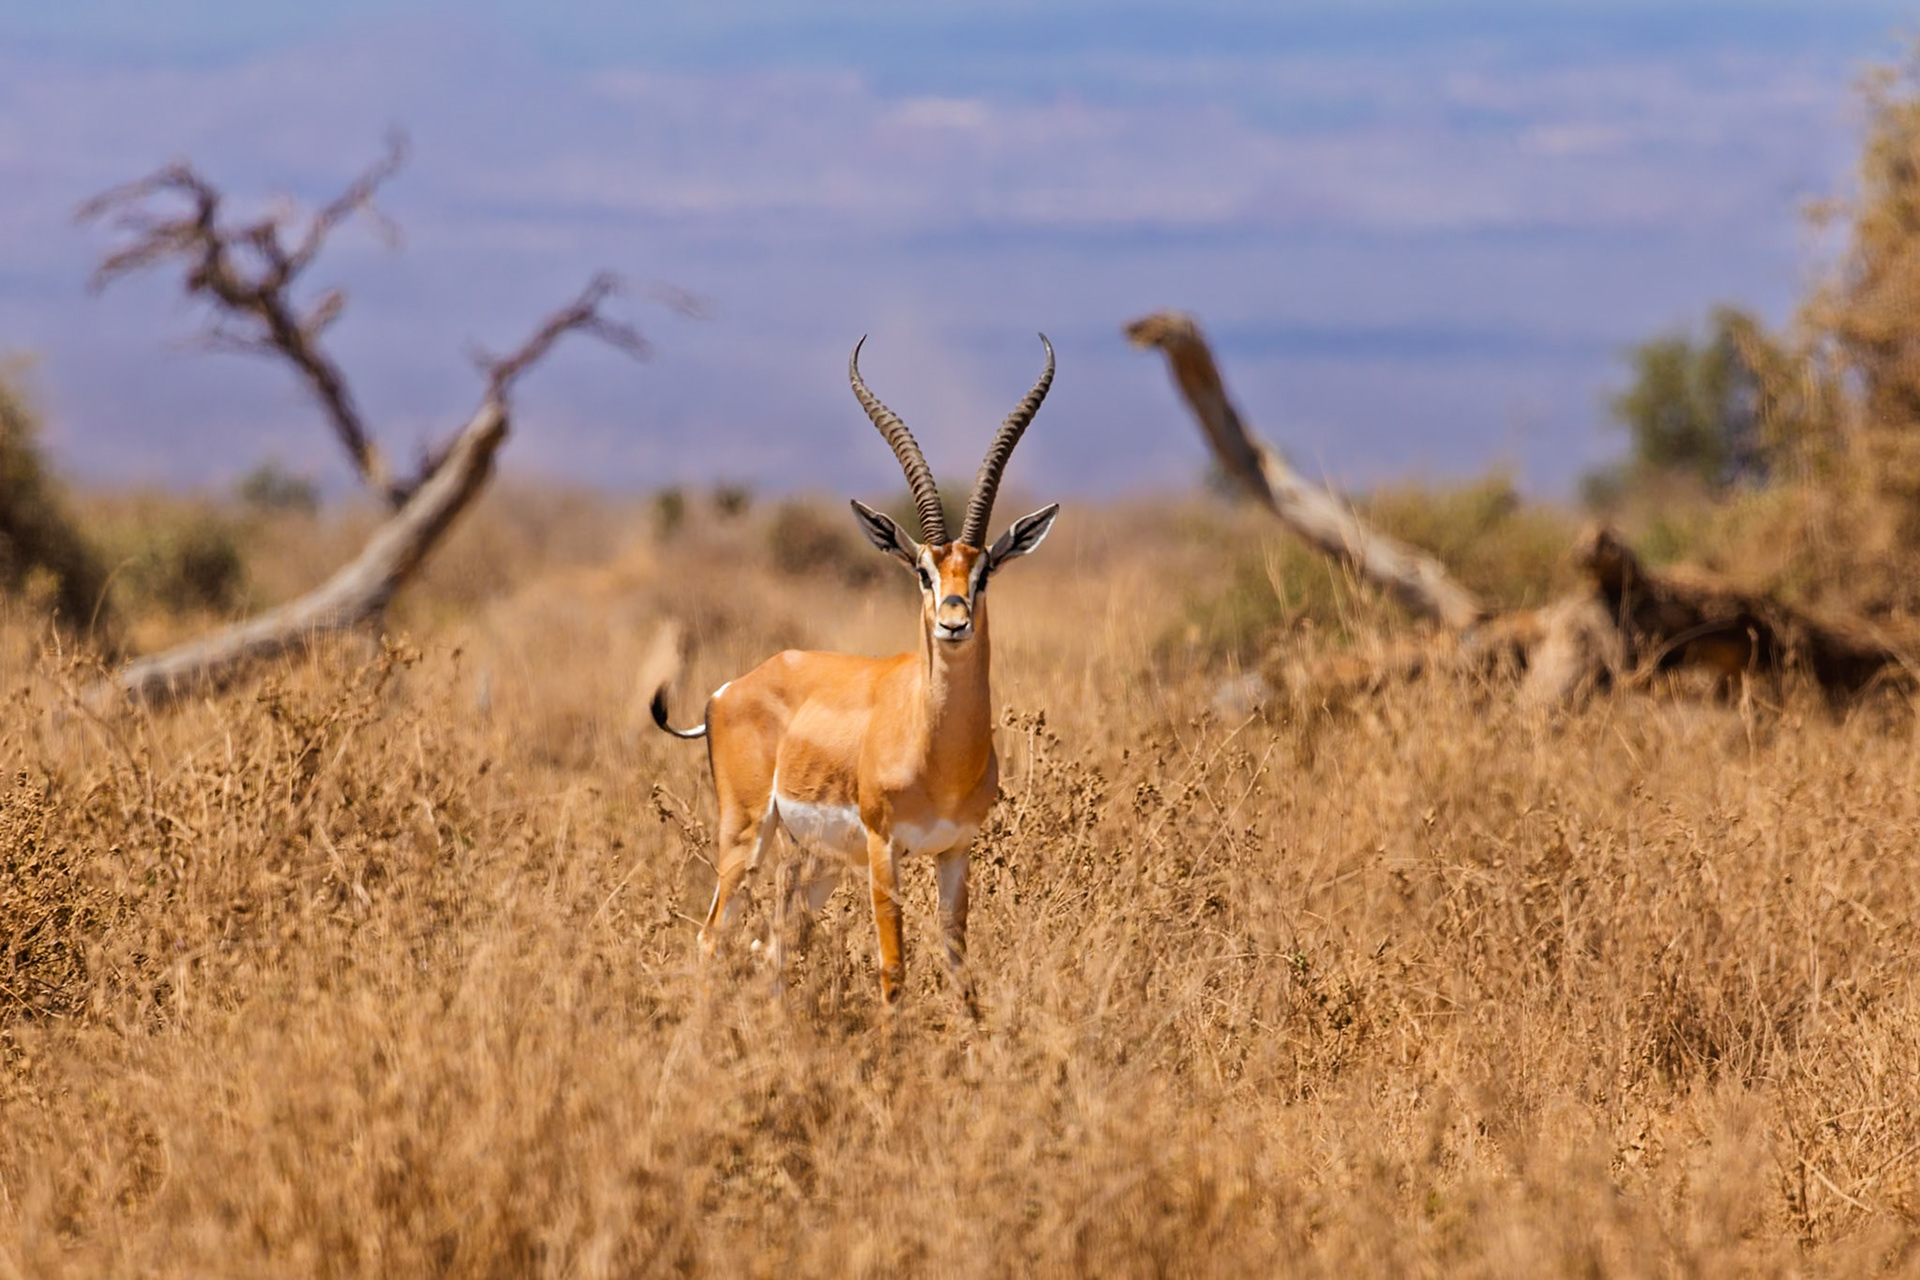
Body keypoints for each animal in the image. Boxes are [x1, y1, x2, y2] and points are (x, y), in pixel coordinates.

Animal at [652, 335, 1060, 1014]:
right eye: (922, 570)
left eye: (983, 572)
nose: (953, 621)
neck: (936, 753)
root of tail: (730, 689)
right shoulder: (882, 846)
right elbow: (894, 968)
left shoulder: (956, 850)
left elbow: (960, 971)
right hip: (745, 836)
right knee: (714, 937)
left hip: (815, 862)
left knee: (775, 944)